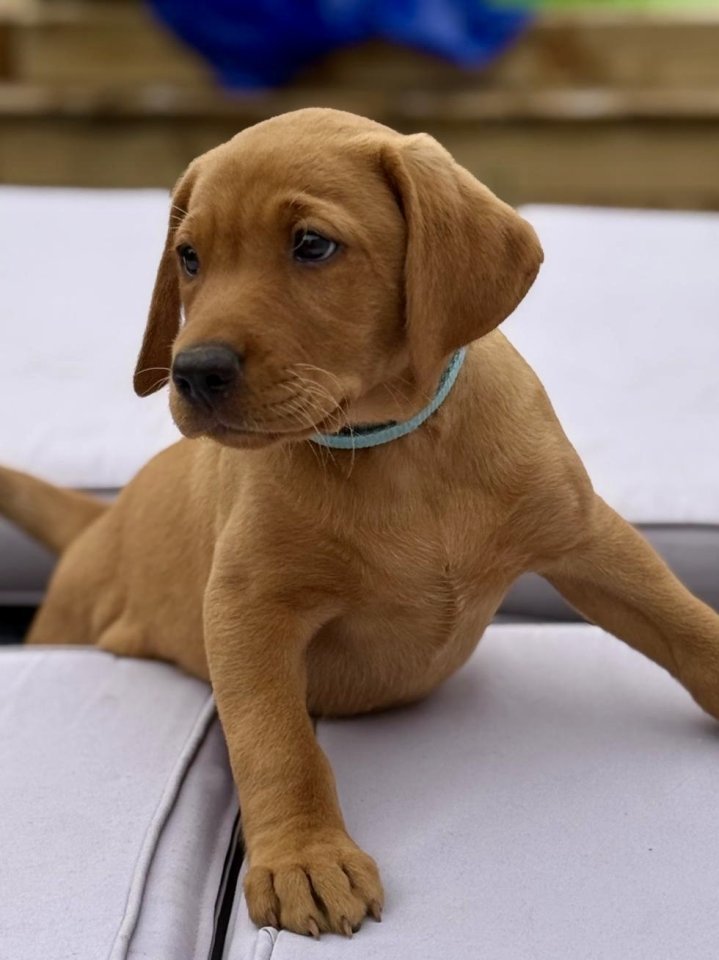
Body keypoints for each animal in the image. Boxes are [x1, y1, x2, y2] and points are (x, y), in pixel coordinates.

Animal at [2, 108, 719, 939]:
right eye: (189, 257)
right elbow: (275, 740)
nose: (193, 372)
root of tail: (101, 517)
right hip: (67, 623)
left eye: (312, 245)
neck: (394, 447)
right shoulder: (248, 608)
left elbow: (682, 622)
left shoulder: (585, 537)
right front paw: (305, 858)